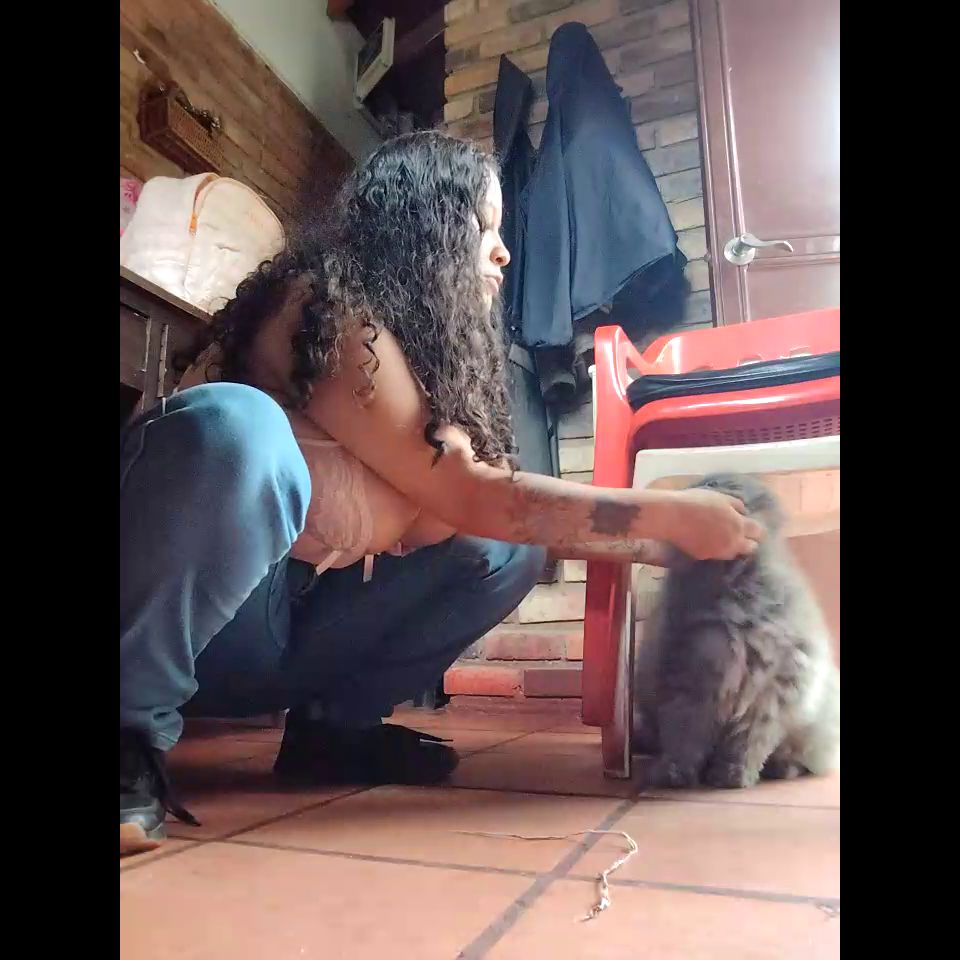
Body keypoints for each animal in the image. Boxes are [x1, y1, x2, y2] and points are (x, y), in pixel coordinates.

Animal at [633, 473, 840, 790]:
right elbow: (684, 737)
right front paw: (675, 774)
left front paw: (732, 776)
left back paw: (781, 769)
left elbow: (746, 742)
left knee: (800, 759)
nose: (695, 491)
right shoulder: (688, 683)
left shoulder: (768, 694)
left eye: (715, 484)